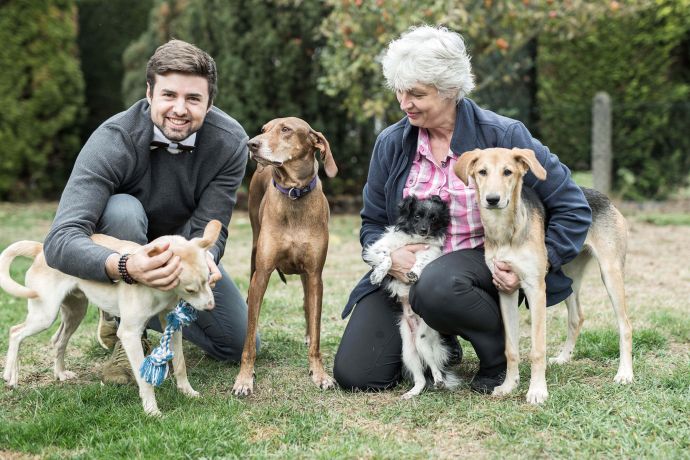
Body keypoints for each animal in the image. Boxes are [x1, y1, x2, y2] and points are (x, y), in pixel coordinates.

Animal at [0, 220, 220, 416]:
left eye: (208, 279)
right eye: (190, 289)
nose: (211, 307)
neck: (160, 289)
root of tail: (40, 250)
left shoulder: (172, 323)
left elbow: (181, 364)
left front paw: (187, 392)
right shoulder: (130, 334)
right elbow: (144, 380)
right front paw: (151, 410)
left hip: (75, 312)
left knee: (58, 340)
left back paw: (60, 373)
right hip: (45, 314)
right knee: (15, 332)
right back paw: (11, 375)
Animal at [232, 116, 338, 396]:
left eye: (286, 129)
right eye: (263, 130)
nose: (252, 144)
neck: (294, 193)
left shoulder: (315, 274)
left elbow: (317, 327)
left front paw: (319, 373)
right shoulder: (261, 274)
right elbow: (249, 341)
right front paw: (244, 378)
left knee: (307, 304)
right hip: (254, 248)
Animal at [362, 195, 460, 398]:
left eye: (433, 218)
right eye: (417, 216)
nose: (424, 230)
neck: (414, 238)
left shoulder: (430, 251)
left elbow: (421, 260)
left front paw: (414, 272)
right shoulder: (380, 247)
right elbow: (387, 257)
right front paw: (378, 275)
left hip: (423, 342)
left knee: (434, 368)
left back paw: (439, 381)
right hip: (408, 351)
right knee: (420, 378)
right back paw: (411, 393)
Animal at [454, 149, 632, 404]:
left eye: (508, 172)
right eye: (482, 172)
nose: (492, 199)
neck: (506, 232)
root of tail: (605, 198)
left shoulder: (535, 289)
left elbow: (537, 349)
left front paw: (537, 390)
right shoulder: (505, 288)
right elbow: (511, 348)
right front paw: (509, 385)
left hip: (611, 273)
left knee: (625, 325)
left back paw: (625, 373)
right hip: (570, 277)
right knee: (576, 317)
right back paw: (564, 357)